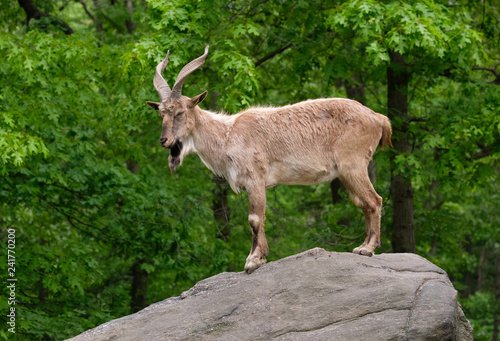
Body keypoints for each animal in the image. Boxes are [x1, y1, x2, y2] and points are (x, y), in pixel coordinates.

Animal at [146, 45, 392, 274]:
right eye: (160, 114)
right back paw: (363, 246)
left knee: (374, 200)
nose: (164, 140)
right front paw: (260, 256)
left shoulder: (255, 179)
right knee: (364, 203)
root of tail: (378, 118)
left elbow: (255, 218)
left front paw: (253, 260)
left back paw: (367, 248)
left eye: (180, 113)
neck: (227, 135)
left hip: (353, 166)